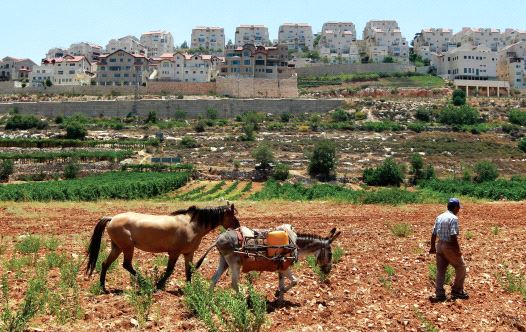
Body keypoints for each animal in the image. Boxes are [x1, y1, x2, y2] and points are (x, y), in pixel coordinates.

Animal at [85, 204, 240, 292]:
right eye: (234, 216)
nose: (238, 227)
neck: (191, 225)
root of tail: (112, 219)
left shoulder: (188, 253)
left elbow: (188, 271)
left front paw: (189, 288)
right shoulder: (174, 252)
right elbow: (170, 270)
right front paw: (159, 285)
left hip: (117, 247)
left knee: (105, 264)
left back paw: (103, 287)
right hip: (127, 247)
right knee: (127, 265)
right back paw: (145, 283)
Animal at [195, 224, 342, 300]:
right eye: (330, 254)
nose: (328, 270)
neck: (294, 243)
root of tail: (218, 239)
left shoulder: (281, 267)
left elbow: (283, 283)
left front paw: (280, 297)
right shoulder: (285, 267)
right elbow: (296, 281)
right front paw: (280, 294)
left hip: (224, 262)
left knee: (214, 279)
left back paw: (209, 300)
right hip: (235, 264)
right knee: (234, 284)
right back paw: (243, 299)